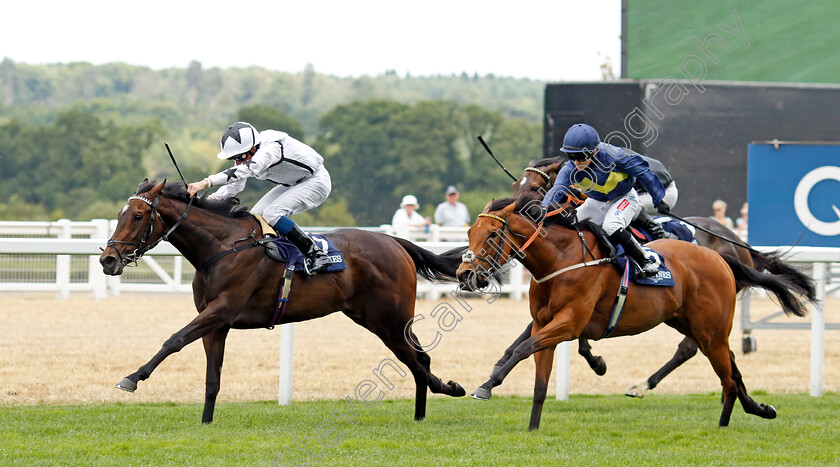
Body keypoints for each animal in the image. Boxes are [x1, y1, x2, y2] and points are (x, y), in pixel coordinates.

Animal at [100, 181, 466, 426]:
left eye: (137, 216)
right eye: (119, 214)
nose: (107, 260)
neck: (221, 248)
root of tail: (395, 242)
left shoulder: (222, 309)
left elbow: (173, 340)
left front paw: (132, 378)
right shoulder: (216, 323)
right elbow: (212, 378)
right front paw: (206, 422)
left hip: (388, 319)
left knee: (417, 359)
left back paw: (444, 392)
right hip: (379, 319)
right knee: (419, 359)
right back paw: (423, 411)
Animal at [460, 198, 812, 432]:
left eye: (493, 235)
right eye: (469, 232)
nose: (465, 275)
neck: (561, 260)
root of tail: (722, 255)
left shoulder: (568, 323)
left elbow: (522, 347)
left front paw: (487, 385)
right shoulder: (546, 323)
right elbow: (536, 375)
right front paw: (531, 426)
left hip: (711, 329)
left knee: (719, 368)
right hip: (694, 324)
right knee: (730, 367)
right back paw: (757, 408)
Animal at [508, 158, 812, 398]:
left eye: (534, 187)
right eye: (515, 186)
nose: (518, 210)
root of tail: (737, 242)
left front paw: (596, 362)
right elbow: (533, 331)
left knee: (689, 347)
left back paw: (642, 385)